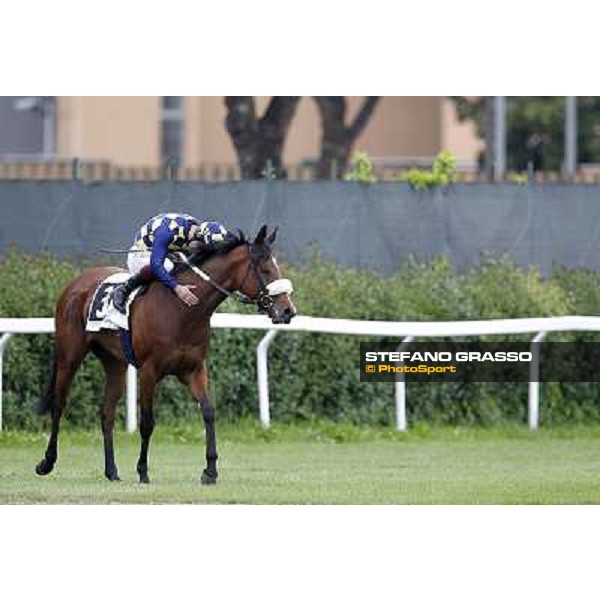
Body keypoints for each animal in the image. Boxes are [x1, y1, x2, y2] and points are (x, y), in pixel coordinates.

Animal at [34, 224, 296, 482]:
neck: (183, 311)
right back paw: (47, 462)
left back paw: (111, 471)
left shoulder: (193, 370)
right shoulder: (149, 372)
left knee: (106, 411)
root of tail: (74, 284)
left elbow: (208, 412)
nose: (288, 311)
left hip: (115, 363)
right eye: (266, 270)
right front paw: (142, 471)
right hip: (69, 356)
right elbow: (147, 422)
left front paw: (210, 471)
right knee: (58, 405)